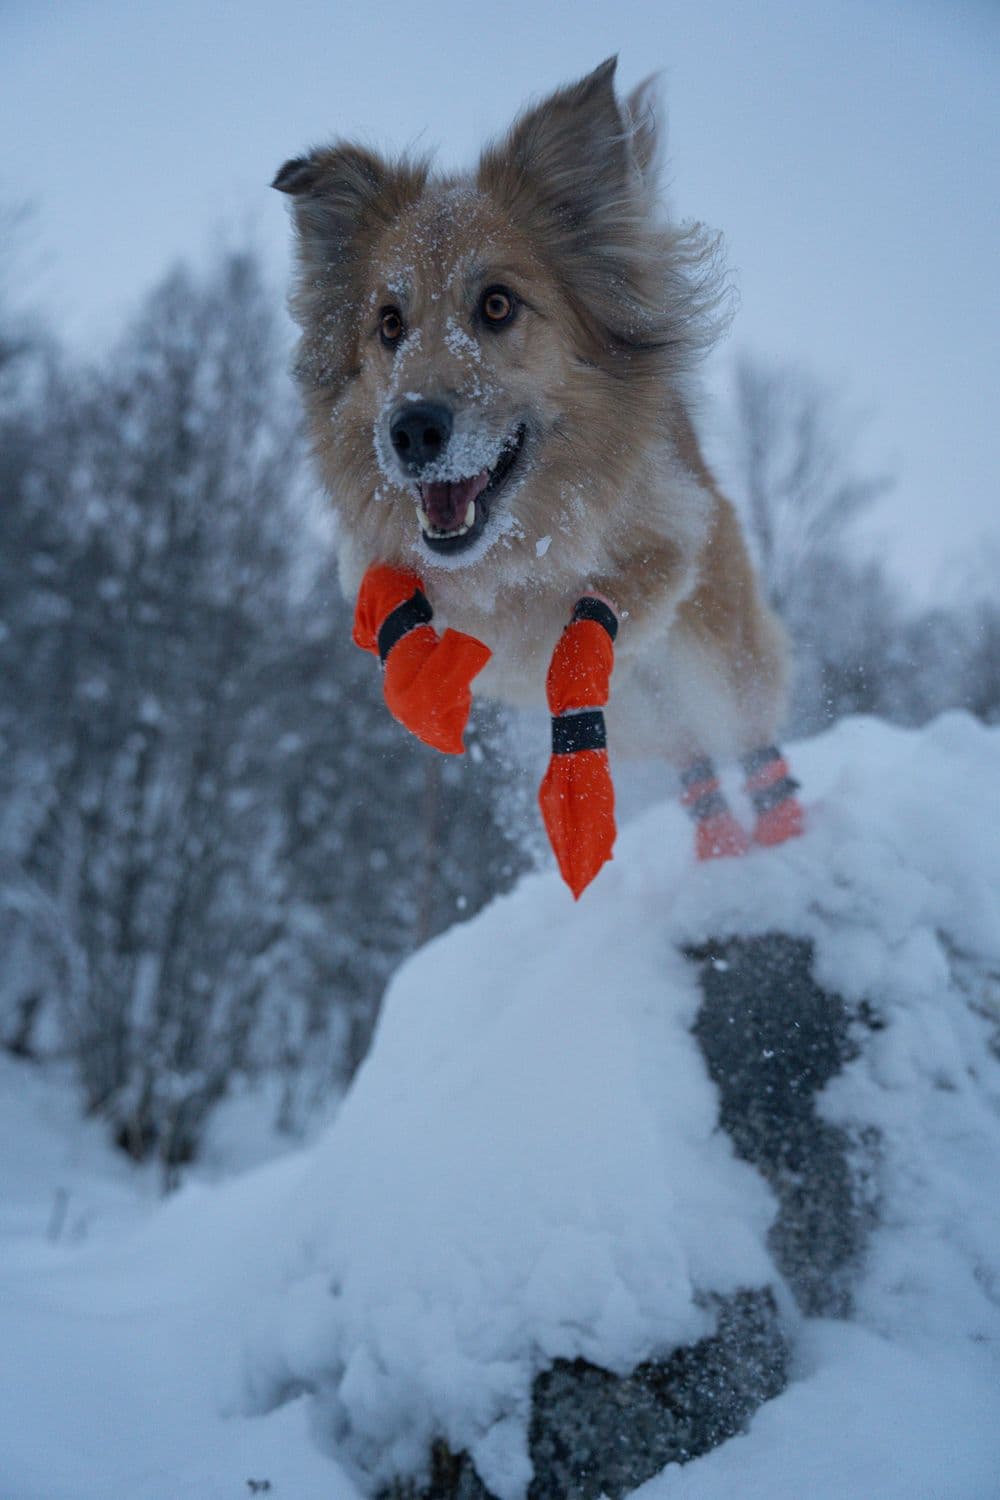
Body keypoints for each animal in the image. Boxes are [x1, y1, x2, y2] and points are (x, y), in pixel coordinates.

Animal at [275, 58, 803, 876]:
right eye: (389, 323)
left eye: (497, 305)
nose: (412, 430)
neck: (515, 554)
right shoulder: (383, 566)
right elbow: (395, 607)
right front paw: (425, 684)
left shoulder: (670, 546)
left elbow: (584, 636)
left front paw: (574, 788)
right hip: (655, 715)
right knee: (693, 762)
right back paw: (719, 850)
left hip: (714, 654)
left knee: (748, 745)